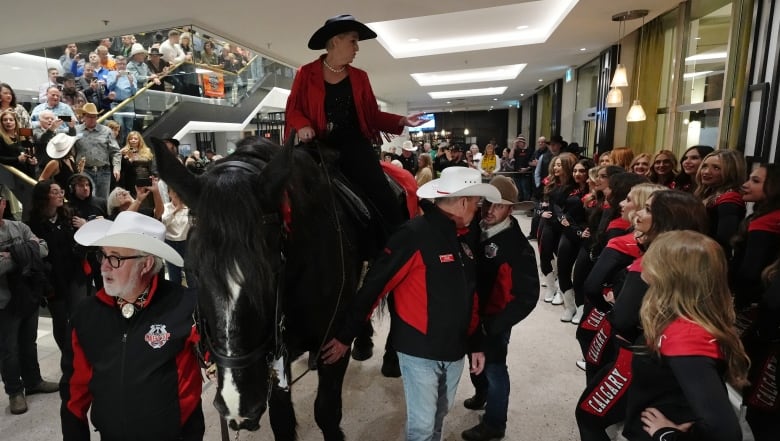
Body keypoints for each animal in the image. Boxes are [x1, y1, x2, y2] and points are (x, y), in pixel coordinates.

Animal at [152, 136, 366, 438]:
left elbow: (327, 412)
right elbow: (282, 420)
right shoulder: (273, 359)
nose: (238, 405)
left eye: (271, 271)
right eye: (192, 270)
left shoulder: (334, 345)